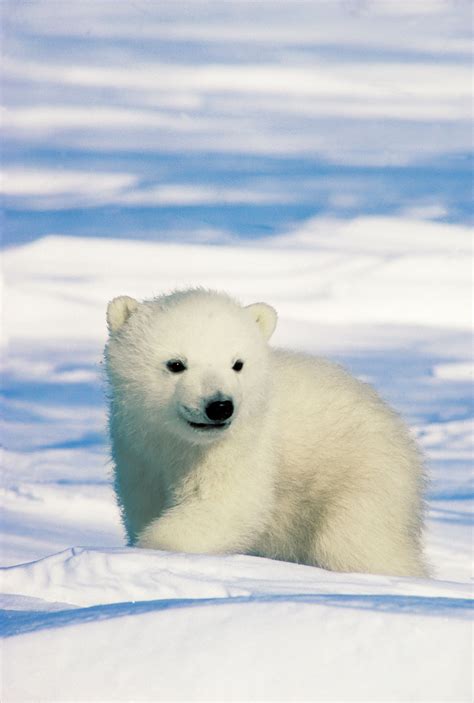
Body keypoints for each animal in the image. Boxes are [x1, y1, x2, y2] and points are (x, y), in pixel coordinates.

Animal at [105, 288, 428, 577]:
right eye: (176, 364)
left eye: (237, 364)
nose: (220, 406)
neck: (180, 443)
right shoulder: (139, 453)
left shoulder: (242, 447)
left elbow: (227, 506)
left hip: (360, 478)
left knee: (354, 543)